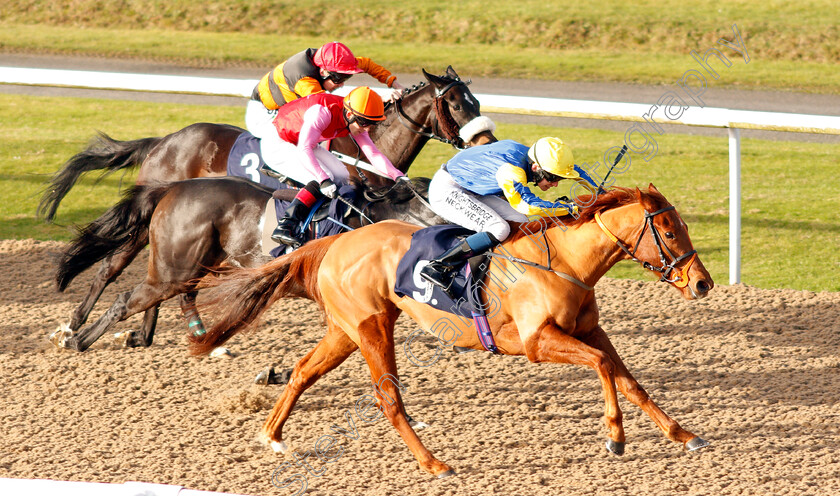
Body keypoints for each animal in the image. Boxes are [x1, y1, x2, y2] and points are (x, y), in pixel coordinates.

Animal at [192, 185, 716, 476]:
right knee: (388, 397)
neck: (565, 262)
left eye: (684, 226)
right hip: (371, 326)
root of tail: (335, 240)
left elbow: (629, 379)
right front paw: (615, 436)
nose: (703, 283)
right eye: (670, 230)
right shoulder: (535, 342)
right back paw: (433, 464)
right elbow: (605, 367)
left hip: (346, 330)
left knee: (303, 370)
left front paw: (683, 433)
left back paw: (272, 435)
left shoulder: (590, 330)